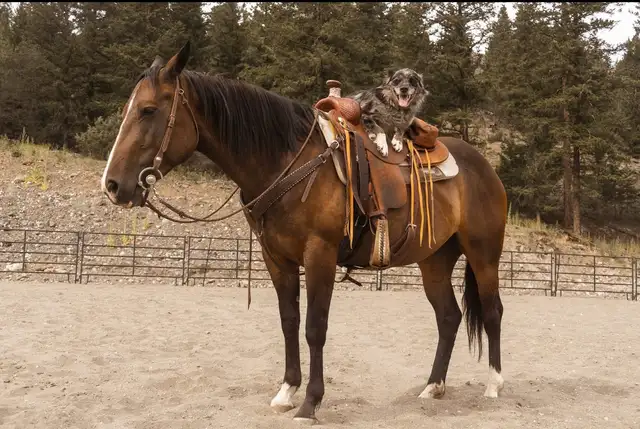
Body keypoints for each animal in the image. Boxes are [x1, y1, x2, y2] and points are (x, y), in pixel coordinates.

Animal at [100, 42, 507, 423]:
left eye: (148, 110)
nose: (113, 185)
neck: (286, 161)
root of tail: (484, 166)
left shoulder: (319, 255)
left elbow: (315, 327)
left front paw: (311, 402)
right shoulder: (276, 258)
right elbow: (289, 321)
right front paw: (286, 392)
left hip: (484, 255)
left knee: (492, 312)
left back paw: (493, 384)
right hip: (434, 260)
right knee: (449, 317)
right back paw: (432, 387)